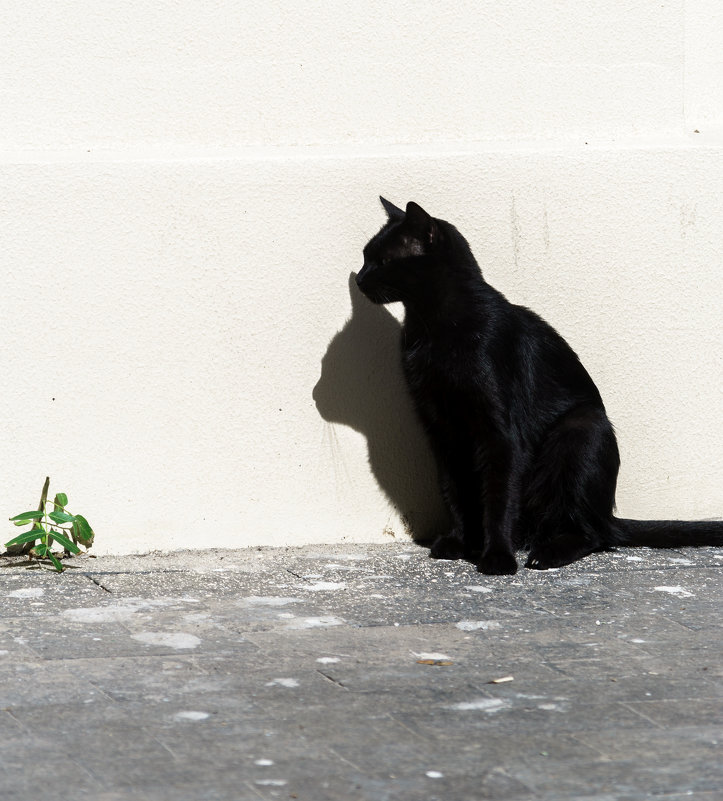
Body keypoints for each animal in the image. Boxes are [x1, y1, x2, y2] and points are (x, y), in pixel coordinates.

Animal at [358, 200, 723, 576]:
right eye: (364, 256)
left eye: (383, 262)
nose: (357, 278)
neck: (433, 327)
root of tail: (608, 516)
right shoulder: (443, 431)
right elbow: (454, 491)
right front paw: (459, 542)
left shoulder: (501, 435)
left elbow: (499, 497)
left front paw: (497, 557)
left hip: (581, 429)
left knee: (592, 534)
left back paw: (547, 553)